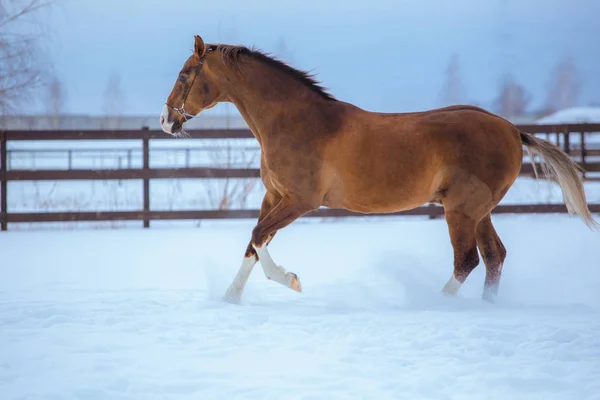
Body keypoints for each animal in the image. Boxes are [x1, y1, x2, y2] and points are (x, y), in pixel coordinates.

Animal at [161, 35, 600, 304]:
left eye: (183, 75)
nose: (167, 122)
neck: (298, 123)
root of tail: (511, 129)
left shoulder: (301, 201)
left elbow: (258, 236)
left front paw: (291, 280)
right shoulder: (274, 195)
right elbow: (254, 241)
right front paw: (230, 297)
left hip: (461, 210)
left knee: (468, 261)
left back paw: (436, 304)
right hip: (479, 211)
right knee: (494, 257)